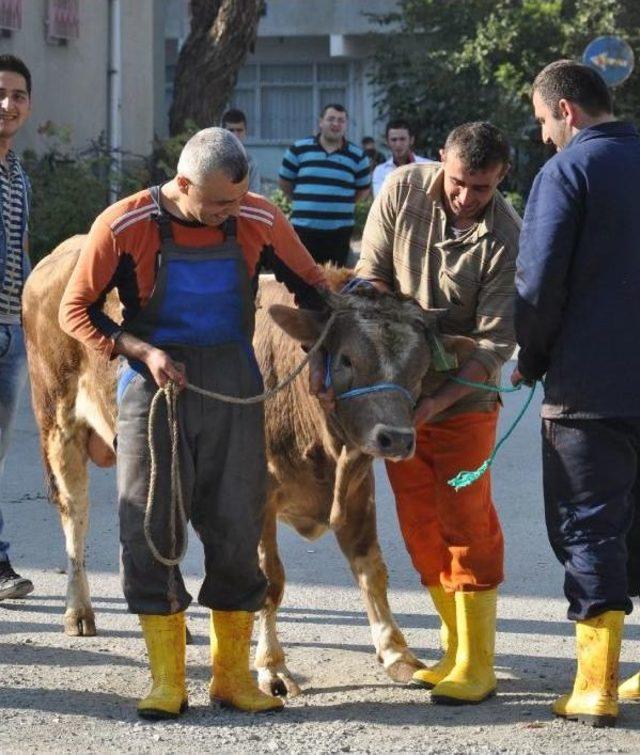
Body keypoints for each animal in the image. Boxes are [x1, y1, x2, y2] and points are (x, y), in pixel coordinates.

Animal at [23, 236, 470, 696]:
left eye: (420, 367)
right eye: (346, 359)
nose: (395, 438)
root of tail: (64, 251)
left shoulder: (357, 484)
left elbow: (371, 565)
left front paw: (396, 652)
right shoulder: (256, 495)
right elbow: (269, 580)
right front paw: (272, 667)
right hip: (58, 425)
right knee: (75, 515)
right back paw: (78, 611)